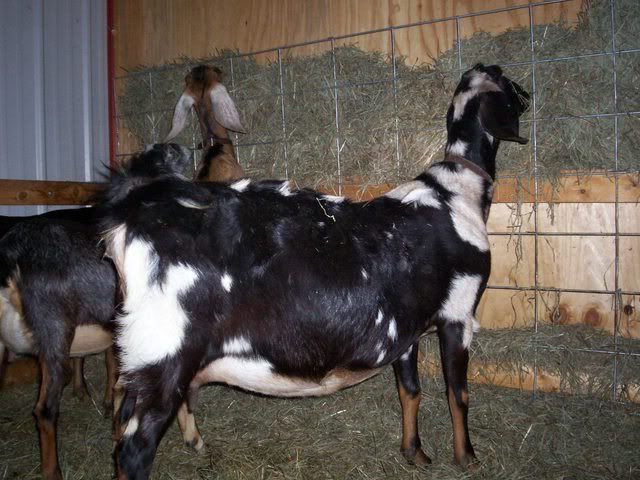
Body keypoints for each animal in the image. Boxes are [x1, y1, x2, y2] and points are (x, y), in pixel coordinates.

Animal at [102, 63, 529, 479]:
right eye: (507, 82)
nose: (527, 94)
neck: (455, 192)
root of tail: (135, 216)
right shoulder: (459, 312)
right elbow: (458, 393)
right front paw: (467, 459)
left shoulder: (408, 326)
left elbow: (410, 389)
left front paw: (415, 454)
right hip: (162, 356)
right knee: (133, 451)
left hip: (141, 360)